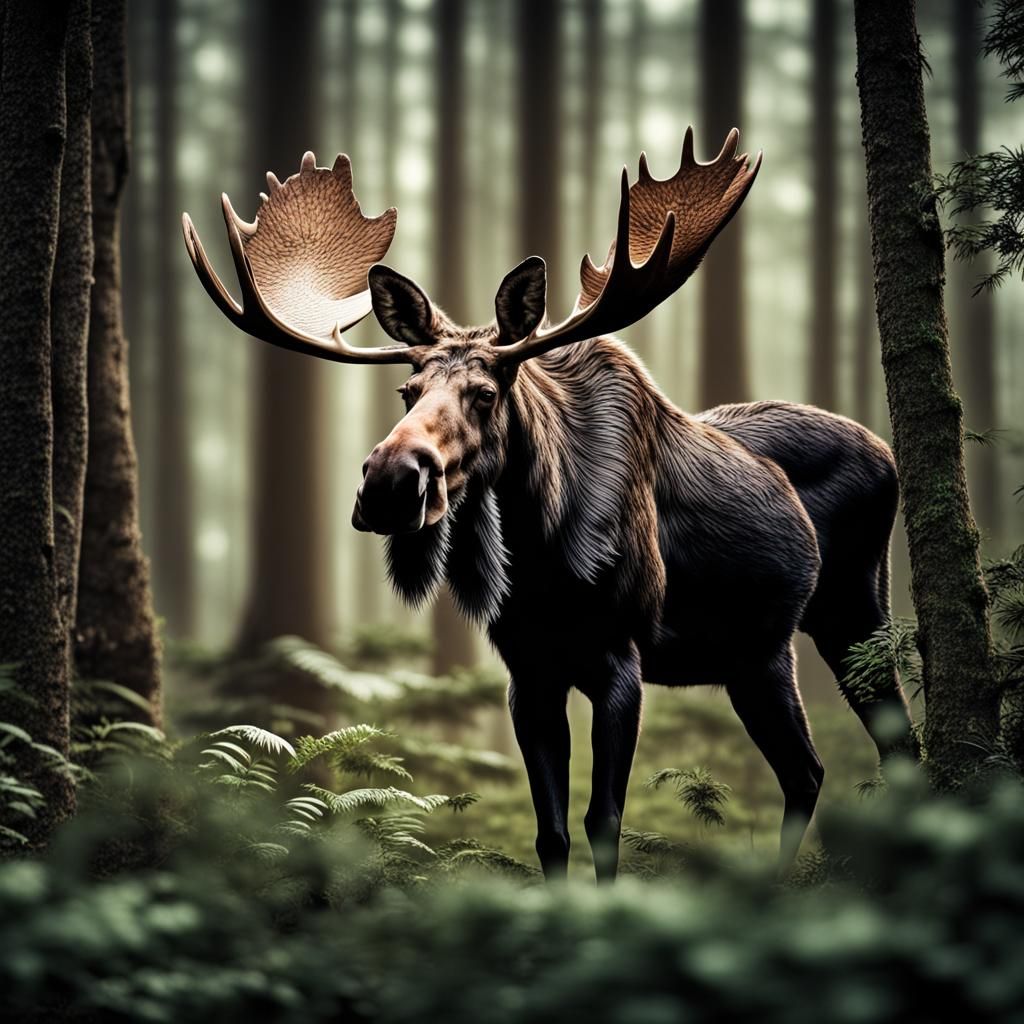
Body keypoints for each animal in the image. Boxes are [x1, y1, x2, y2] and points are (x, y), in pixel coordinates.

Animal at [182, 130, 914, 880]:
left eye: (485, 393)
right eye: (406, 391)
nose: (388, 482)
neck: (541, 560)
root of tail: (887, 451)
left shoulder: (620, 660)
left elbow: (604, 819)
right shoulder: (528, 669)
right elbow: (550, 832)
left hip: (851, 612)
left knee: (884, 746)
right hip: (755, 655)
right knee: (807, 769)